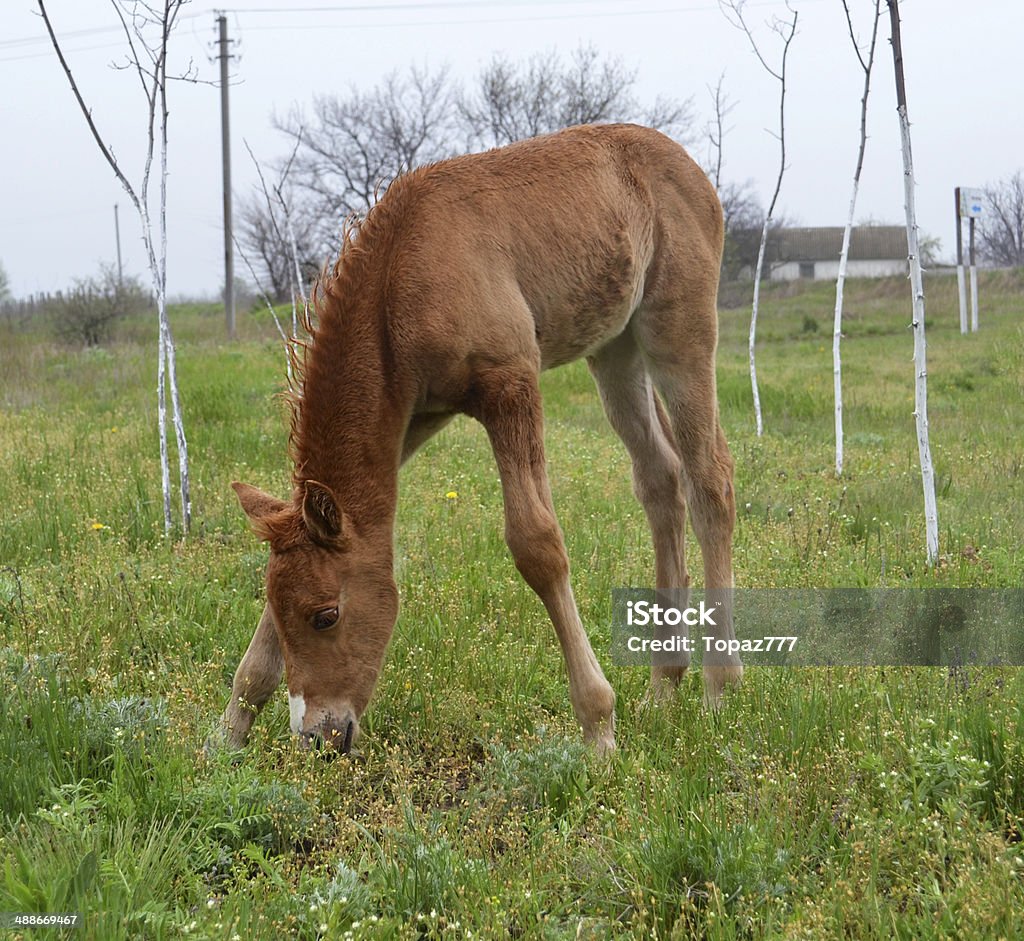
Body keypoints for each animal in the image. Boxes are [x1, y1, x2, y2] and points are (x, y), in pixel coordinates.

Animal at [216, 126, 741, 757]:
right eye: (283, 609)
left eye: (326, 616)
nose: (320, 737)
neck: (402, 276)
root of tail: (687, 165)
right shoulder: (412, 417)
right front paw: (228, 734)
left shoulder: (510, 384)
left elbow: (538, 545)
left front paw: (598, 729)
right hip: (614, 348)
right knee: (661, 478)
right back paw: (664, 687)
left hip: (678, 331)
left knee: (709, 479)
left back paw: (718, 692)